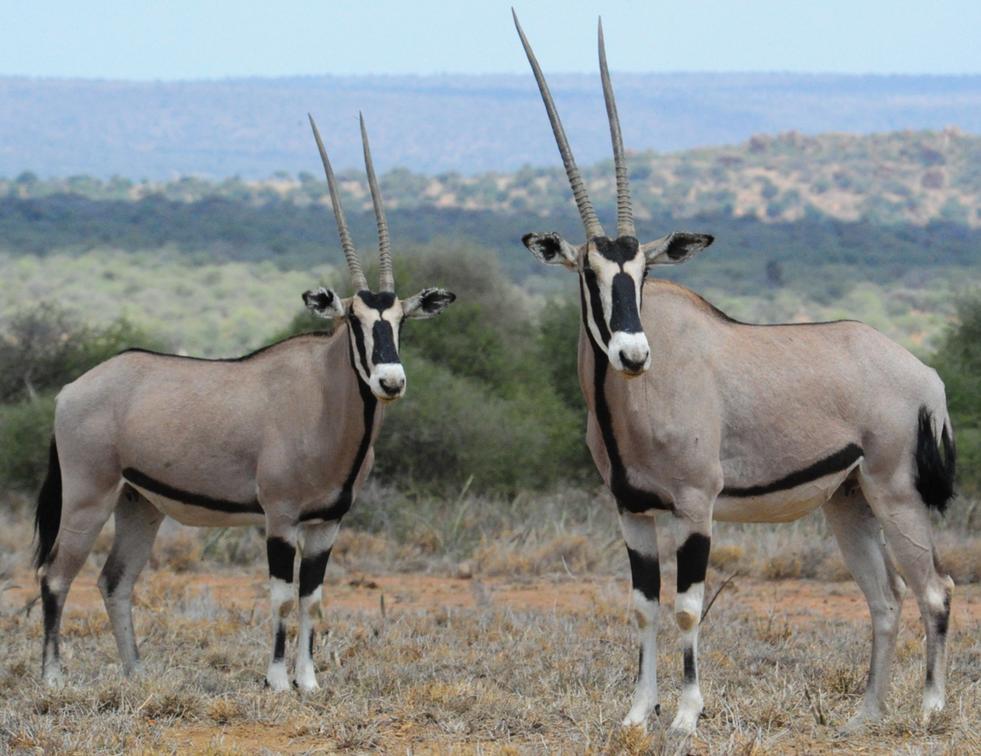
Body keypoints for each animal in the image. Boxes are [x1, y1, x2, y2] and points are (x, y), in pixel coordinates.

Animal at [32, 114, 455, 692]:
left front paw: (310, 682)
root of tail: (71, 390)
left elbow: (311, 600)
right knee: (56, 574)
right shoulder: (278, 517)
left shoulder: (327, 525)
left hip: (138, 505)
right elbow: (281, 598)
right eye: (353, 319)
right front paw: (277, 681)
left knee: (113, 580)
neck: (324, 405)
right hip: (87, 498)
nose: (390, 381)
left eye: (400, 320)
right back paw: (53, 677)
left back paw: (136, 673)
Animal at [513, 12, 956, 734]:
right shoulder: (631, 512)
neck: (632, 400)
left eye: (643, 271)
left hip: (896, 492)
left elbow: (688, 608)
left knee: (935, 590)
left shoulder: (697, 507)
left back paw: (929, 710)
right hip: (848, 501)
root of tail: (924, 374)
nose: (633, 354)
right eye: (589, 272)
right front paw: (636, 714)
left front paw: (685, 716)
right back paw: (863, 715)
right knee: (886, 598)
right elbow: (643, 607)